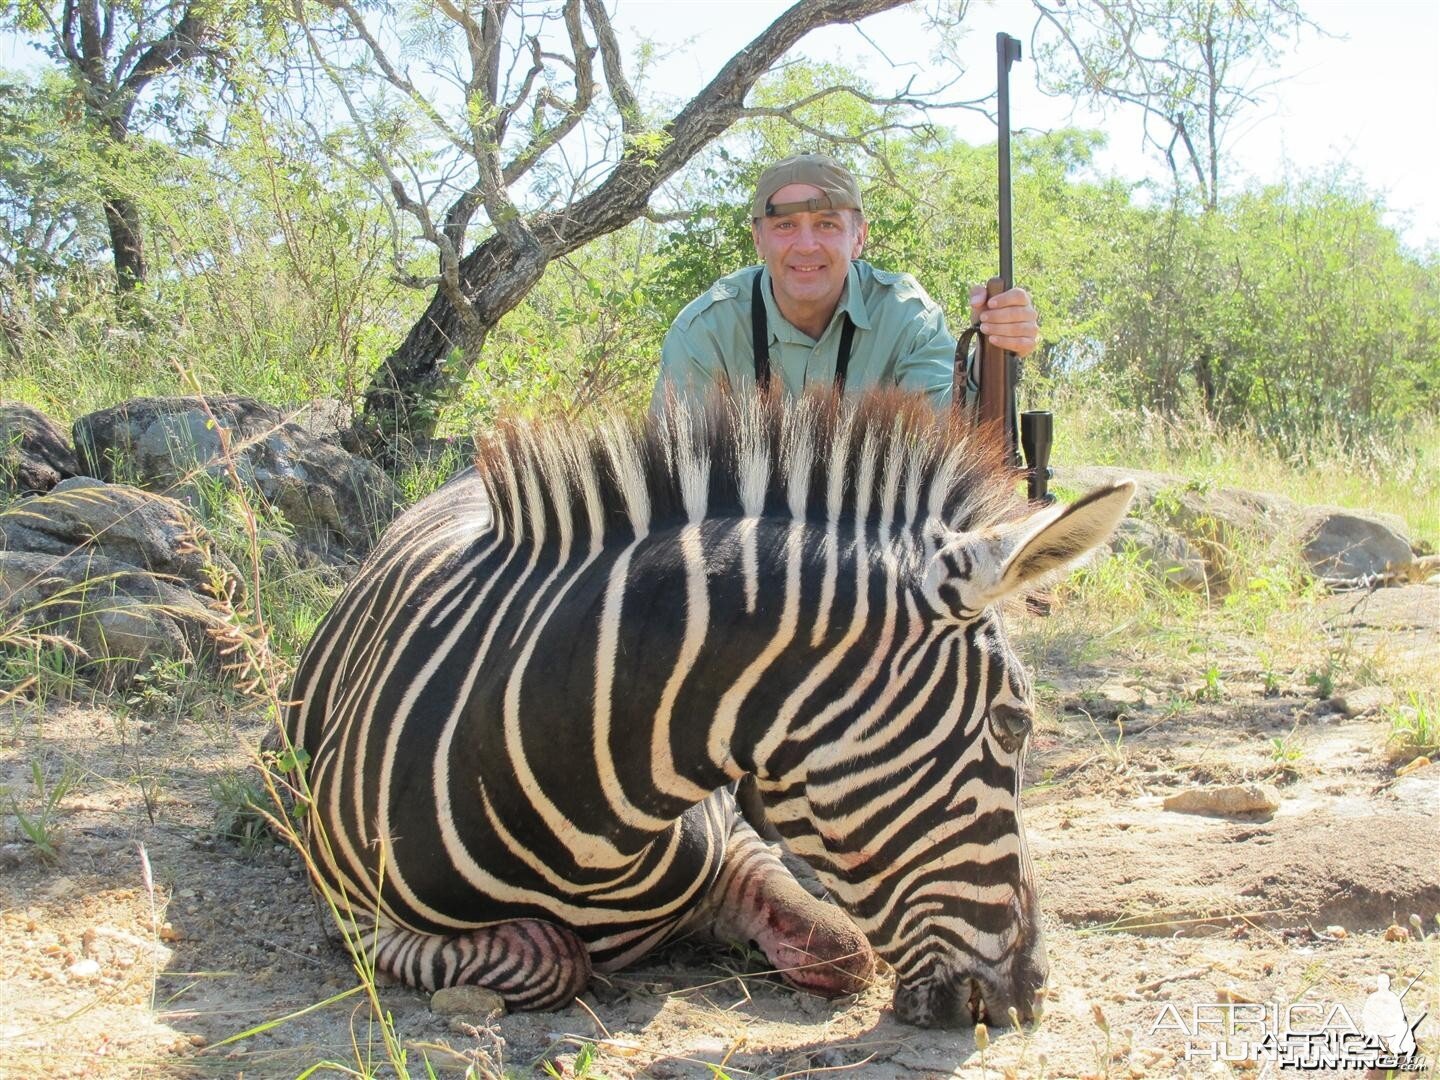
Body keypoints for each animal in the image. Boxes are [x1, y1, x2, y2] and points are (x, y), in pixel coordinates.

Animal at [283, 388, 1134, 1031]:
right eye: (1014, 725)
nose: (1030, 996)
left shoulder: (739, 843)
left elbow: (841, 945)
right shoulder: (356, 921)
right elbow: (549, 956)